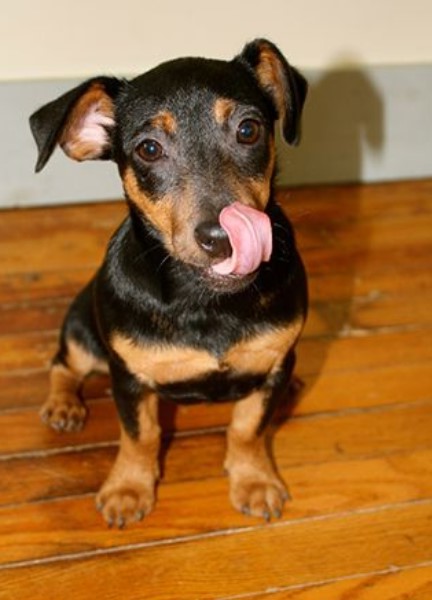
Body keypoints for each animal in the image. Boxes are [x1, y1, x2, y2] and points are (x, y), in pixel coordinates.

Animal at [29, 37, 308, 528]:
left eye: (248, 130)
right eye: (149, 149)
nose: (222, 238)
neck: (206, 301)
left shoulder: (273, 364)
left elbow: (248, 427)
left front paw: (254, 481)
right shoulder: (129, 378)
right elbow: (140, 436)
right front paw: (128, 490)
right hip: (84, 334)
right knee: (62, 364)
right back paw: (64, 406)